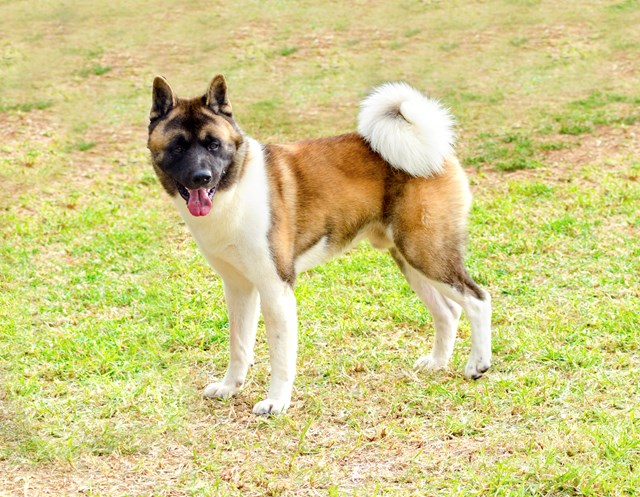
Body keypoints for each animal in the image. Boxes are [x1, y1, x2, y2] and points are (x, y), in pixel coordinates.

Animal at [148, 74, 492, 414]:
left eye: (214, 144)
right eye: (178, 147)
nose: (201, 177)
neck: (236, 188)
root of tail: (434, 147)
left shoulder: (276, 288)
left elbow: (281, 355)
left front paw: (276, 402)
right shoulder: (239, 289)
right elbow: (239, 345)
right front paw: (230, 387)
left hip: (426, 253)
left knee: (477, 300)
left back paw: (478, 364)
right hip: (410, 260)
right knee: (448, 312)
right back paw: (437, 363)